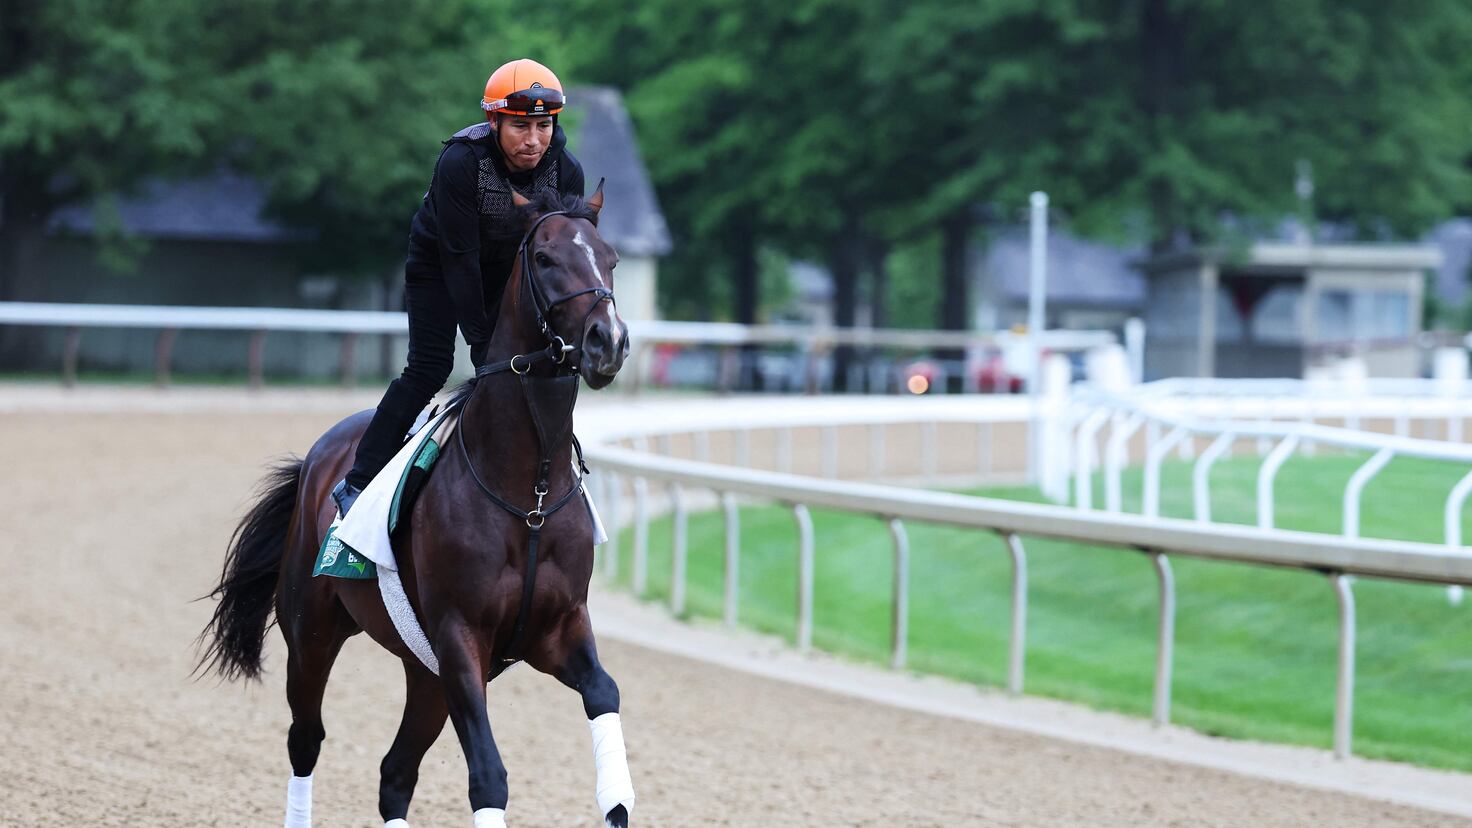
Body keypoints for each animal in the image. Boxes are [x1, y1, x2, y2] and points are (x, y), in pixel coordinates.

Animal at [198, 185, 634, 828]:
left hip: (423, 673)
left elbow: (605, 695)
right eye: (546, 258)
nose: (608, 341)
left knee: (395, 773)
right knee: (306, 739)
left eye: (610, 258)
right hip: (312, 633)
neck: (527, 495)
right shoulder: (459, 639)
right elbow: (489, 776)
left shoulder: (558, 628)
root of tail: (315, 462)